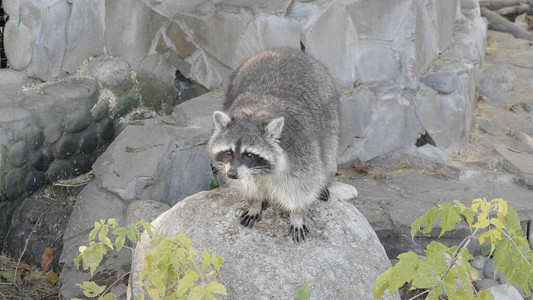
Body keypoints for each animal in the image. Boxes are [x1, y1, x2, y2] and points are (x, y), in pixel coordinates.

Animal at [206, 48, 338, 243]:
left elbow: (301, 188)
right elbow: (250, 186)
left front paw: (297, 214)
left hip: (330, 115)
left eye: (249, 154)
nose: (232, 174)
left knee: (327, 156)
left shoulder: (302, 153)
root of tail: (286, 50)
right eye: (229, 152)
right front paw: (255, 203)